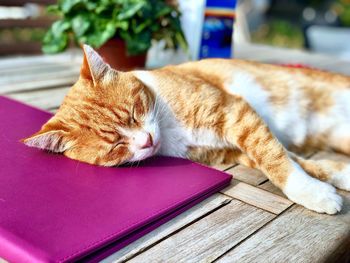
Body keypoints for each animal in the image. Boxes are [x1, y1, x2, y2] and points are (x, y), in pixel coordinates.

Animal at [23, 44, 348, 214]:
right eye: (115, 146)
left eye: (134, 114)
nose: (146, 140)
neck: (169, 131)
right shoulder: (233, 149)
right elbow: (291, 159)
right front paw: (331, 180)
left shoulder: (237, 114)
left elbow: (277, 159)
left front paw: (310, 192)